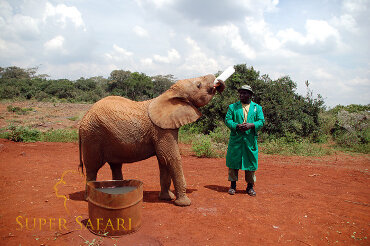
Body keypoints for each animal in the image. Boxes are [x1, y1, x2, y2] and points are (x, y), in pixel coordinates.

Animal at [79, 74, 224, 207]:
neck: (169, 93)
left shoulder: (164, 127)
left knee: (115, 165)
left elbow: (163, 160)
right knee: (92, 168)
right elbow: (170, 157)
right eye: (198, 85)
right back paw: (88, 198)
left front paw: (167, 198)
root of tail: (83, 119)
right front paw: (184, 203)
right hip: (92, 136)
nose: (219, 81)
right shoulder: (161, 129)